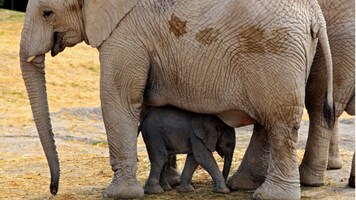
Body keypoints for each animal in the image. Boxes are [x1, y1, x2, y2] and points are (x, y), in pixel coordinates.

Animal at [20, 0, 336, 199]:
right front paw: (167, 185)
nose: (53, 189)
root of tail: (317, 15)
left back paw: (269, 196)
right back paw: (242, 186)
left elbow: (119, 99)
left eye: (47, 12)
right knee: (268, 123)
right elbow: (146, 104)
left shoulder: (127, 34)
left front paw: (118, 195)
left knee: (280, 122)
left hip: (276, 55)